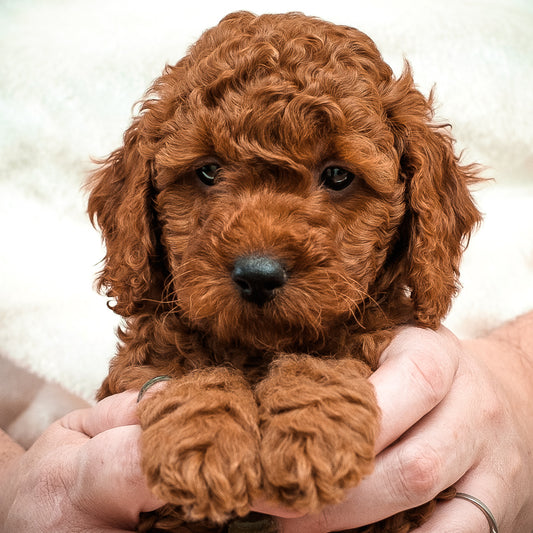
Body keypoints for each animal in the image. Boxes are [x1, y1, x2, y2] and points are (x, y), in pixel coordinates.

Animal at [88, 10, 482, 528]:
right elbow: (189, 372)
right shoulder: (138, 364)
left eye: (338, 175)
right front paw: (205, 445)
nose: (258, 274)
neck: (259, 350)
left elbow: (322, 361)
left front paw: (313, 433)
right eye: (207, 171)